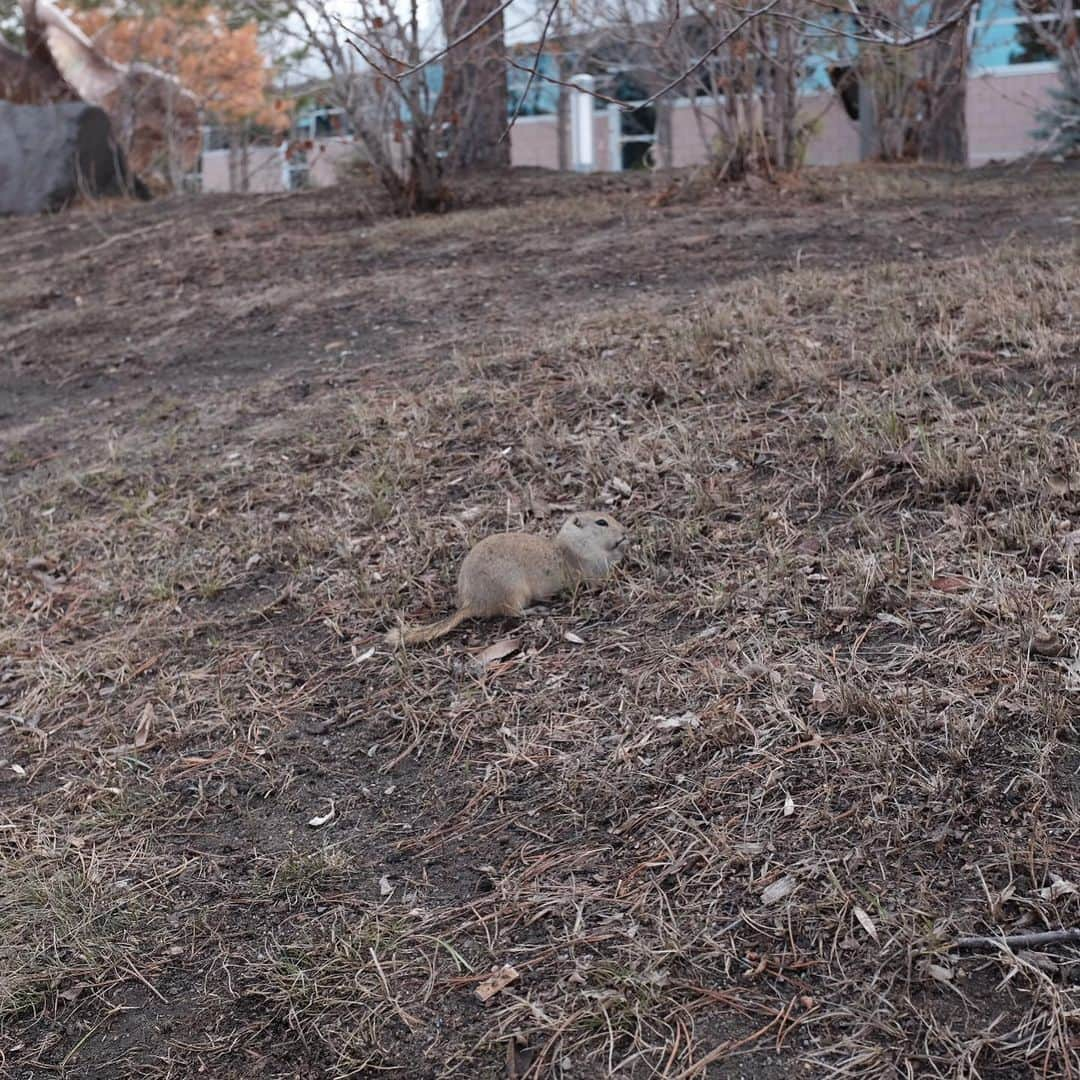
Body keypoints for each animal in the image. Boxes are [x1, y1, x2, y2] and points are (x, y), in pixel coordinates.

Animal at [388, 509, 630, 643]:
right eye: (601, 522)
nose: (625, 532)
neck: (571, 544)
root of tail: (471, 602)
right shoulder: (590, 565)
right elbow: (603, 575)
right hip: (515, 592)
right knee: (513, 613)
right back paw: (537, 610)